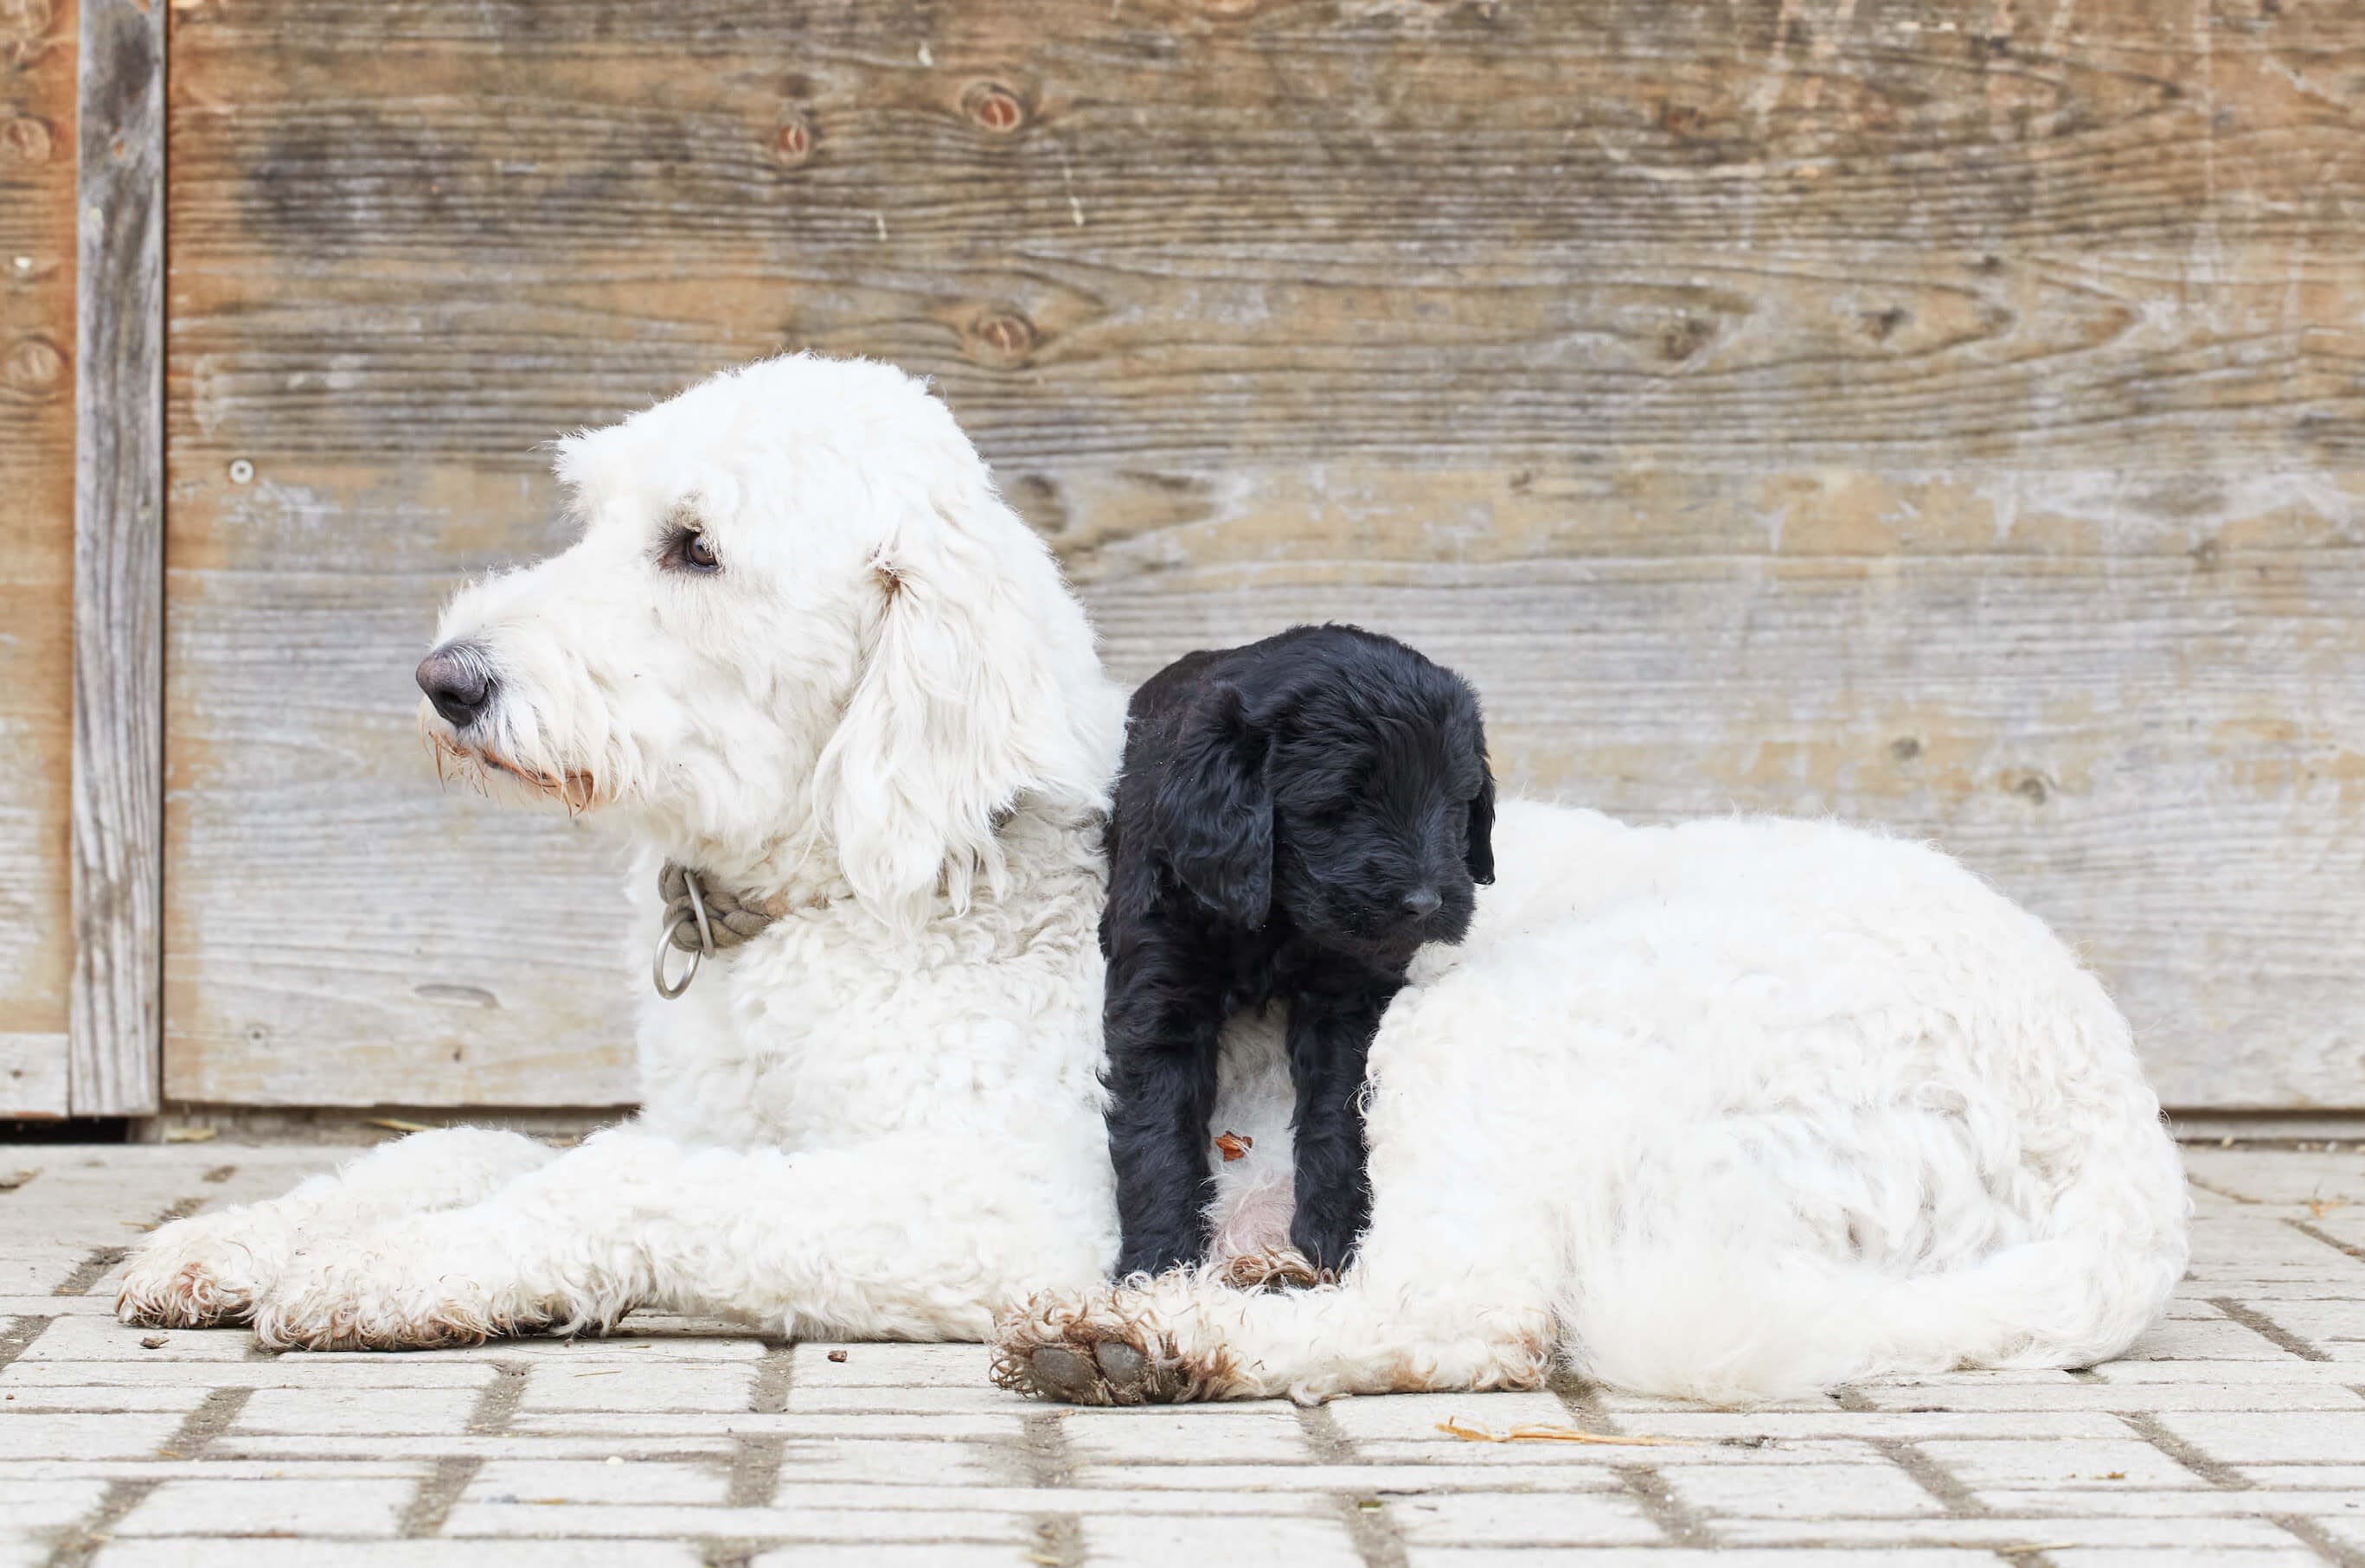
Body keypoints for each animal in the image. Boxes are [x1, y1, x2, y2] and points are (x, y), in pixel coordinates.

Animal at [1103, 626, 1493, 1279]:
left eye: (1457, 800)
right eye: (1339, 804)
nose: (1425, 902)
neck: (1276, 917)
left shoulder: (1348, 994)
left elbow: (1338, 1107)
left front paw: (1332, 1238)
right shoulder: (1158, 977)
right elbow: (1156, 1123)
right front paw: (1160, 1266)